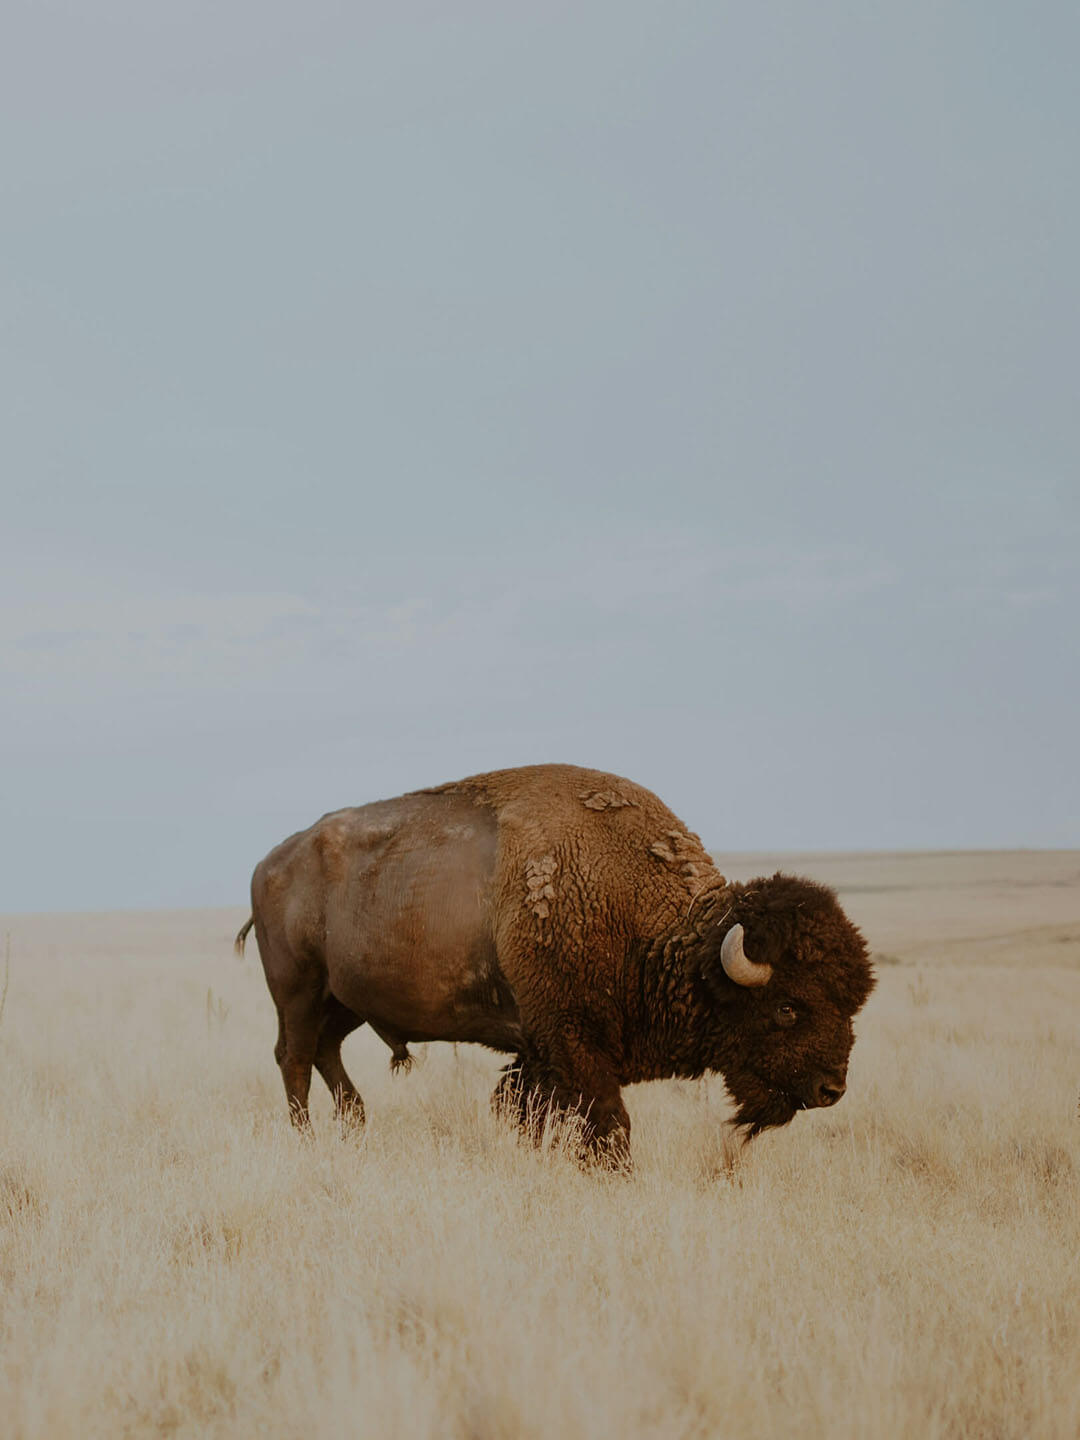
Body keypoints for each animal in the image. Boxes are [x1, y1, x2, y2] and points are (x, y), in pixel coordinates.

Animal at [236, 764, 874, 1162]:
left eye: (852, 1004)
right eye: (787, 1006)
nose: (831, 1088)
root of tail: (269, 863)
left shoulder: (541, 1053)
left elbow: (529, 1112)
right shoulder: (572, 1043)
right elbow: (608, 1124)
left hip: (345, 1001)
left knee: (325, 1052)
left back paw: (356, 1124)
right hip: (299, 990)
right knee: (294, 1058)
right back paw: (308, 1138)